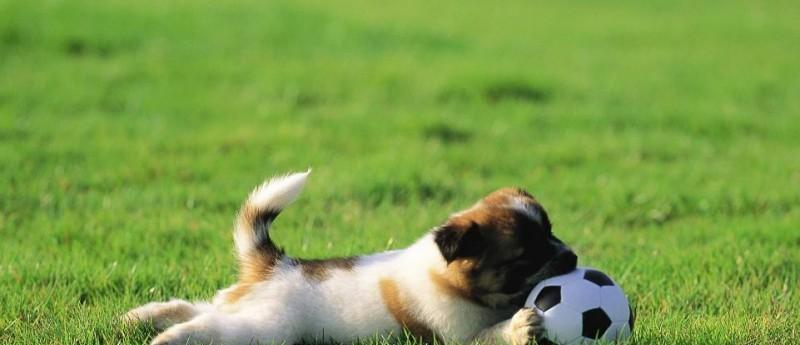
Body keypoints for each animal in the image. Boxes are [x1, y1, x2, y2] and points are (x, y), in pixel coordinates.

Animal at [123, 171, 576, 342]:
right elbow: (493, 333)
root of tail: (274, 265)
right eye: (524, 258)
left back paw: (142, 318)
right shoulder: (457, 337)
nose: (572, 258)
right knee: (212, 325)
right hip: (268, 327)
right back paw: (168, 337)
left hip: (244, 305)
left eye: (551, 232)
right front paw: (521, 326)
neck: (451, 278)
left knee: (197, 306)